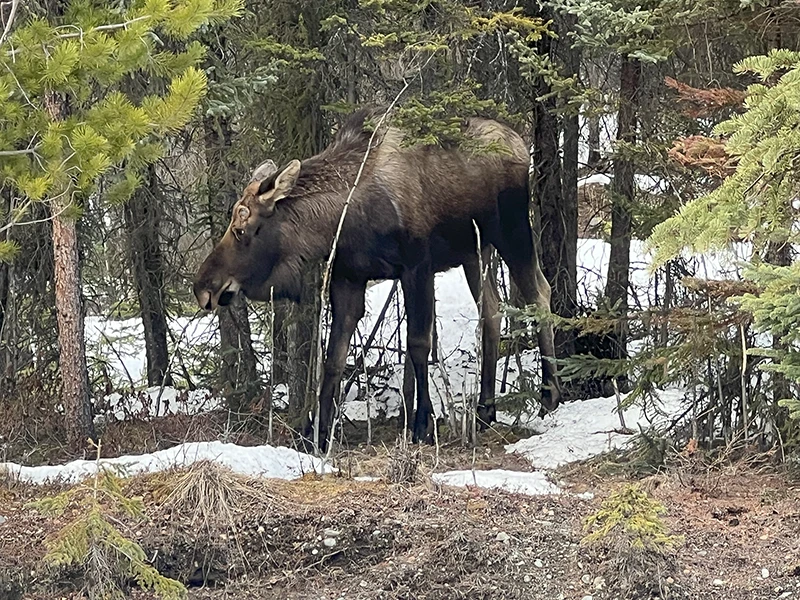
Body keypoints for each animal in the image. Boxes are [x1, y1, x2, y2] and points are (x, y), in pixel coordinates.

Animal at [192, 106, 564, 446]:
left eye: (242, 229)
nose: (203, 287)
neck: (340, 222)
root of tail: (521, 144)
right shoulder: (348, 278)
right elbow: (334, 357)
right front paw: (317, 432)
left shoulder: (417, 266)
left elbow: (418, 344)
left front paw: (422, 425)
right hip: (476, 250)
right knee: (492, 309)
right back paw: (485, 410)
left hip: (512, 230)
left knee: (540, 293)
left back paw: (550, 397)